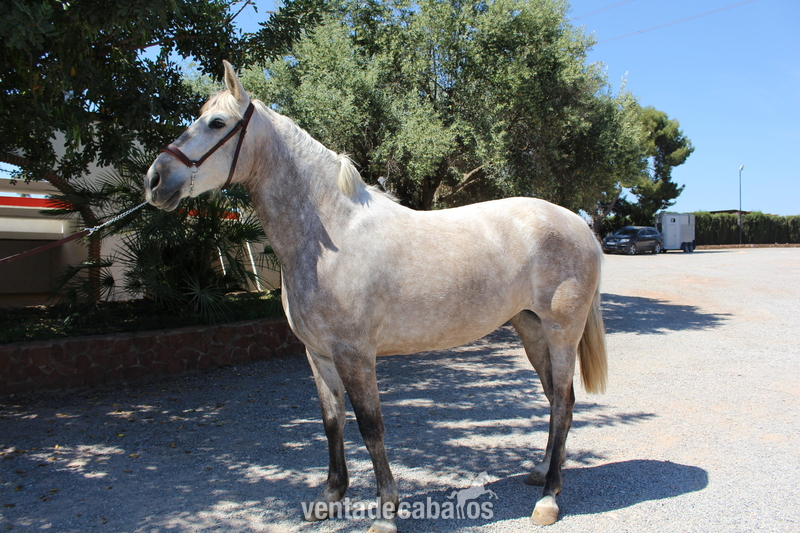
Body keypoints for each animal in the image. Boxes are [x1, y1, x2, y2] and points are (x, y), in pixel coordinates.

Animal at [145, 61, 607, 532]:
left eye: (217, 123)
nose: (155, 179)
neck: (331, 232)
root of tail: (579, 224)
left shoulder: (354, 355)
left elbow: (371, 428)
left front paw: (386, 510)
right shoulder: (319, 355)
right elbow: (332, 423)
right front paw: (330, 497)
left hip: (561, 333)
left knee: (564, 402)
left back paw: (549, 498)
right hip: (531, 329)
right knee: (554, 398)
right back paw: (542, 472)